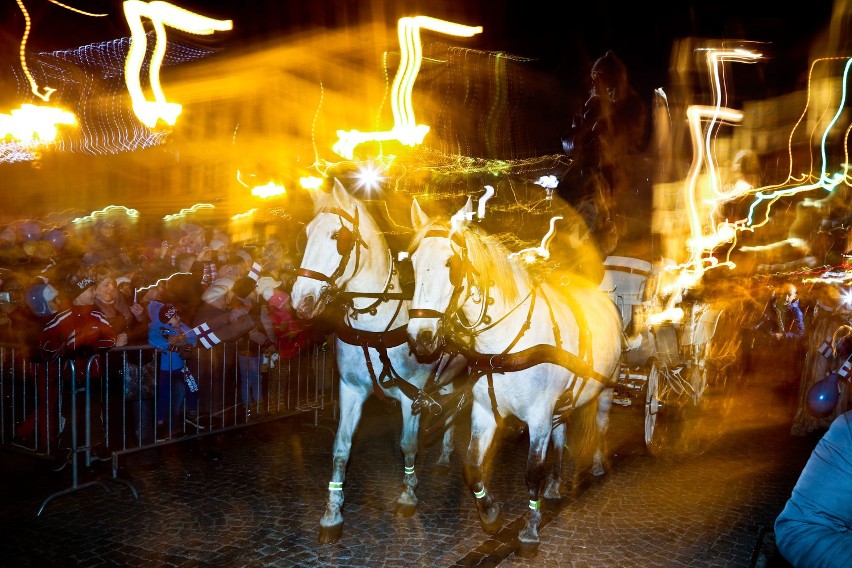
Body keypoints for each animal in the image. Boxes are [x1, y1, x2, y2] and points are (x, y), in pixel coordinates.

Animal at [292, 180, 466, 544]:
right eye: (306, 234)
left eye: (338, 237)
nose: (301, 300)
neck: (375, 326)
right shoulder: (350, 390)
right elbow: (341, 448)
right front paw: (332, 514)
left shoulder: (411, 395)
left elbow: (408, 445)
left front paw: (408, 495)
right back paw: (444, 454)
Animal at [404, 197, 620, 556]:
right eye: (413, 262)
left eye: (451, 263)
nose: (420, 337)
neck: (503, 346)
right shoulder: (485, 411)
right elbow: (473, 467)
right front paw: (490, 514)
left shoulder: (539, 416)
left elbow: (532, 474)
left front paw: (530, 530)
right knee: (561, 434)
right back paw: (556, 485)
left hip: (605, 386)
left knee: (602, 421)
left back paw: (600, 464)